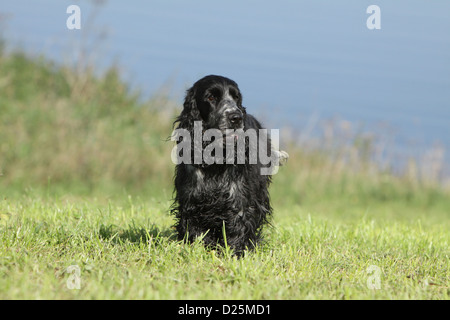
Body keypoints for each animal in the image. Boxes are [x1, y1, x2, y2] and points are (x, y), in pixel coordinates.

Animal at [170, 74, 288, 255]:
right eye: (211, 97)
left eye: (236, 97)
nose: (236, 117)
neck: (216, 157)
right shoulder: (191, 200)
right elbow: (195, 229)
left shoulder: (239, 198)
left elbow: (240, 227)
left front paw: (236, 253)